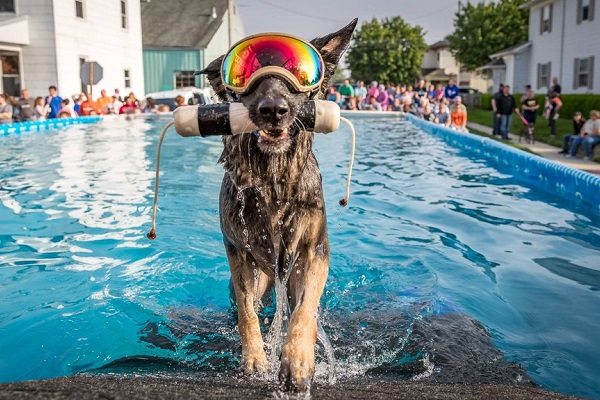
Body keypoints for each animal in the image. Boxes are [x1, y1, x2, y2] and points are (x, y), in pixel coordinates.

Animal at [198, 19, 356, 390]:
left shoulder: (314, 251)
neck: (273, 180)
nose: (273, 110)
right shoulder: (239, 255)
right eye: (244, 73)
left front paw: (297, 359)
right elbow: (247, 313)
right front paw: (256, 358)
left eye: (298, 72)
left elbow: (304, 310)